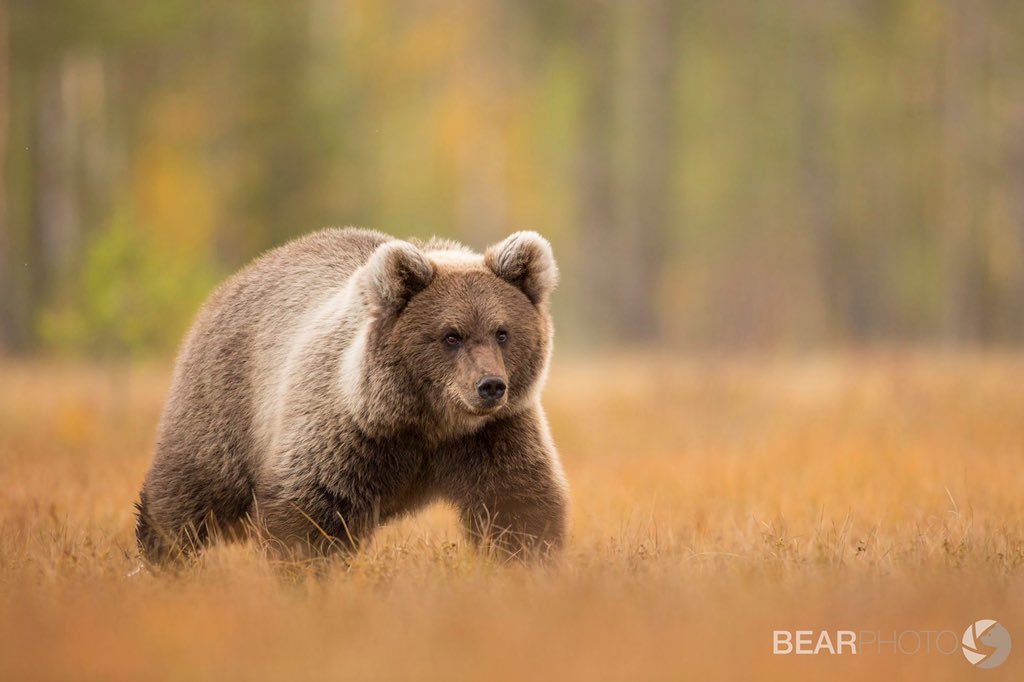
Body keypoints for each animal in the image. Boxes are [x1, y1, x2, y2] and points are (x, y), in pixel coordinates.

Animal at [135, 227, 569, 563]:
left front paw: (526, 563)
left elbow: (517, 505)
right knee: (193, 490)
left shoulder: (493, 433)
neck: (427, 423)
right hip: (227, 399)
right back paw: (161, 553)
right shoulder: (346, 432)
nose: (490, 385)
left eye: (502, 332)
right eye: (451, 335)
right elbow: (310, 513)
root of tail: (230, 284)